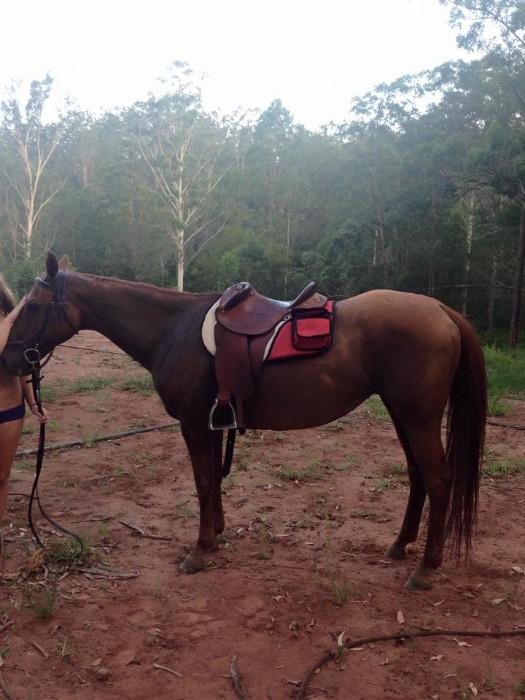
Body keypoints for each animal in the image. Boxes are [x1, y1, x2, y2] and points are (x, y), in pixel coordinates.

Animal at [1, 252, 487, 590]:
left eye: (34, 305)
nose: (9, 359)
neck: (171, 329)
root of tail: (442, 310)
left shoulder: (194, 424)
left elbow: (202, 482)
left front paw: (200, 549)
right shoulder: (214, 423)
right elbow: (213, 481)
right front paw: (216, 533)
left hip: (418, 416)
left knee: (439, 481)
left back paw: (426, 568)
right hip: (402, 413)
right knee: (418, 476)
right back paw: (400, 546)